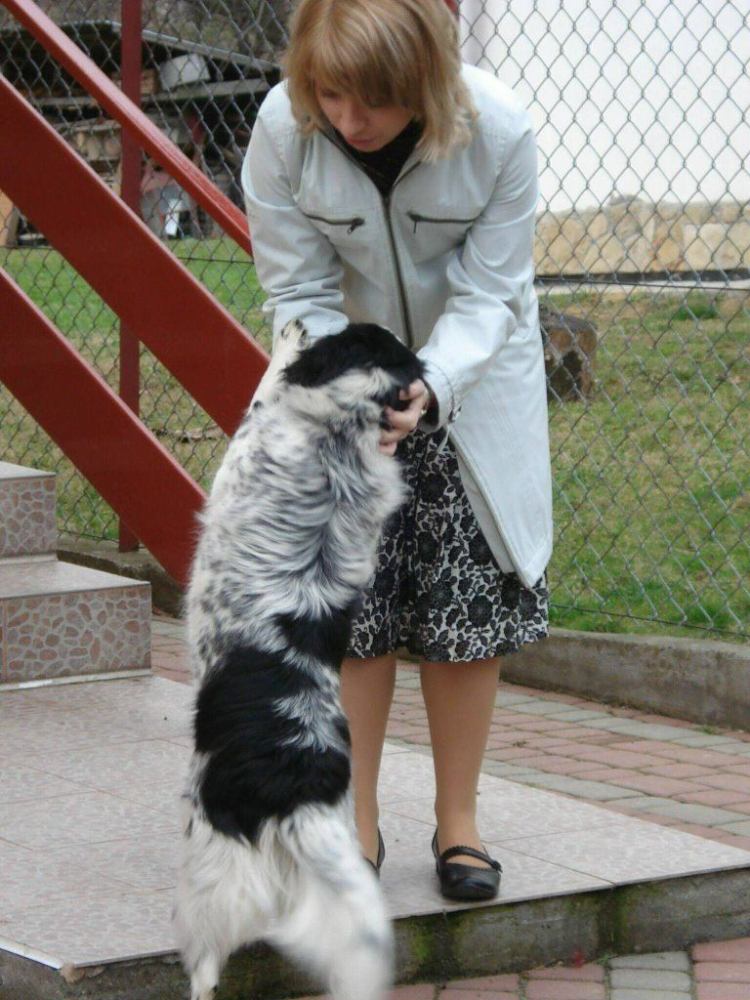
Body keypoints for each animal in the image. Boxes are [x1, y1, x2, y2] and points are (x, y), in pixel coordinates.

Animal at [174, 320, 425, 1000]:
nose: (315, 318)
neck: (337, 435)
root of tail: (300, 789)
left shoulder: (244, 446)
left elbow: (262, 390)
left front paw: (287, 338)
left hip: (215, 869)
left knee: (206, 960)